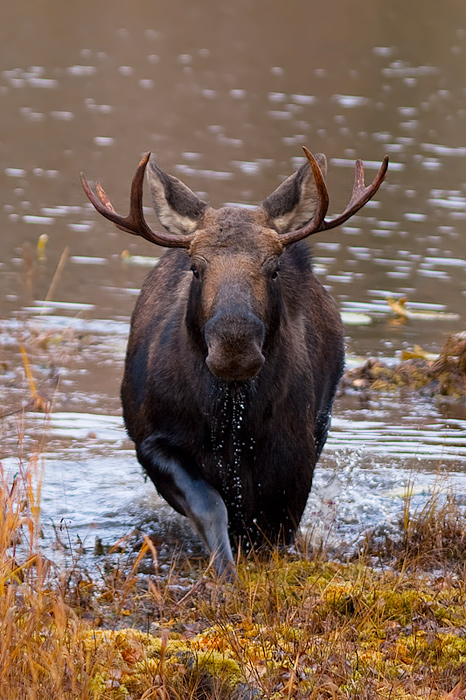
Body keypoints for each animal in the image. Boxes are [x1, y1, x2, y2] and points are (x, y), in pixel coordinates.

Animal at [81, 148, 388, 576]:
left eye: (273, 269)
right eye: (196, 267)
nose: (234, 347)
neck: (229, 416)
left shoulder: (296, 452)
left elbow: (279, 529)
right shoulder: (153, 441)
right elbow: (211, 507)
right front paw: (226, 573)